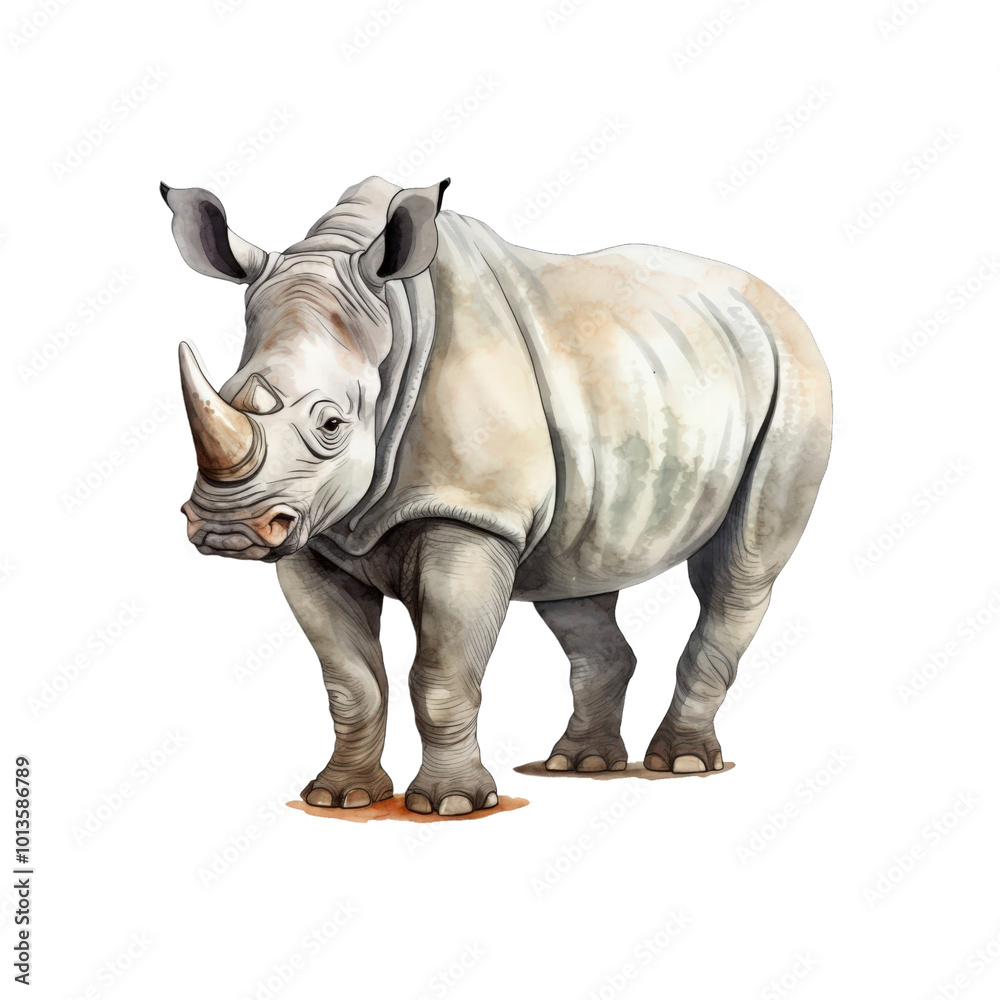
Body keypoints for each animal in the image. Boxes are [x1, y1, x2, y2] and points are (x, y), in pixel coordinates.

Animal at [161, 175, 832, 816]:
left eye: (331, 425)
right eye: (227, 392)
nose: (226, 528)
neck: (392, 318)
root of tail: (776, 303)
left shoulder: (473, 513)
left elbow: (441, 674)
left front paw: (450, 804)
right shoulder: (312, 533)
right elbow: (350, 682)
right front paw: (339, 796)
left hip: (796, 375)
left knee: (739, 571)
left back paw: (683, 764)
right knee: (575, 581)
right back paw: (581, 765)